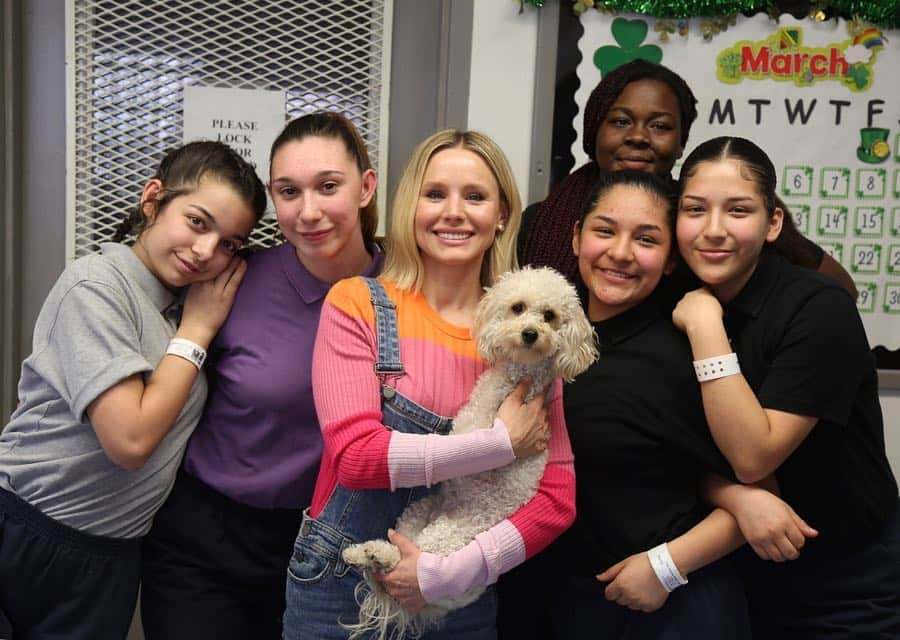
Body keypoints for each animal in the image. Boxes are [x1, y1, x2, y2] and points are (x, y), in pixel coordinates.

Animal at [342, 266, 596, 640]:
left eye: (550, 315)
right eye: (518, 307)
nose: (531, 333)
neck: (517, 380)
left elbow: (476, 443)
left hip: (444, 541)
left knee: (407, 563)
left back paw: (380, 555)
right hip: (420, 511)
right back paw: (363, 553)